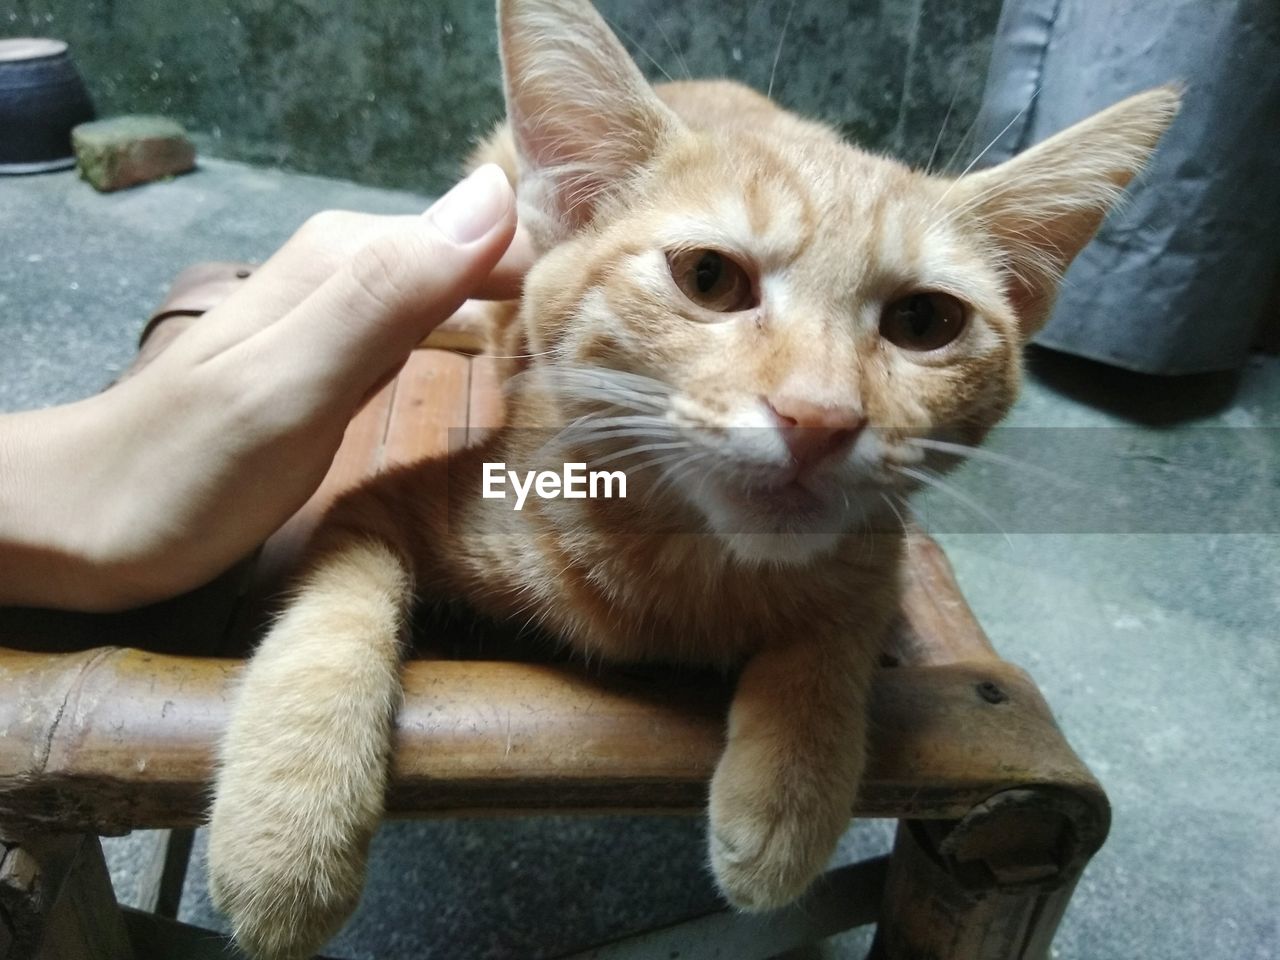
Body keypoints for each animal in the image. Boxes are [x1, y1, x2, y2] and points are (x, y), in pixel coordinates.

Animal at [204, 1, 1172, 957]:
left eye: (926, 321)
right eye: (709, 278)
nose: (819, 416)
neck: (686, 578)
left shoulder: (880, 551)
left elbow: (843, 621)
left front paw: (793, 784)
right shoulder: (382, 503)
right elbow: (333, 610)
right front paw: (284, 825)